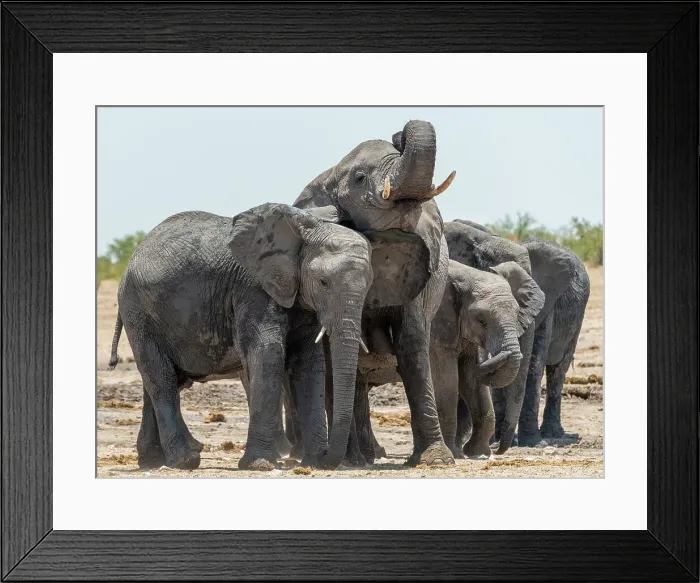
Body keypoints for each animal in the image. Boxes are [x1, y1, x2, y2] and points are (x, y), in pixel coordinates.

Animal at [108, 202, 375, 471]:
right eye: (323, 282)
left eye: (369, 285)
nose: (328, 459)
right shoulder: (252, 288)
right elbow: (268, 352)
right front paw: (260, 465)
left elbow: (309, 363)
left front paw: (313, 462)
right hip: (138, 311)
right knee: (161, 378)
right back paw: (185, 460)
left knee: (161, 380)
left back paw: (152, 462)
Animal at [291, 119, 458, 467]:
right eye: (360, 178)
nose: (399, 135)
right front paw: (344, 460)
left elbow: (411, 341)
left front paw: (435, 460)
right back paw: (358, 458)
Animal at [352, 259, 544, 462]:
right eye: (482, 321)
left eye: (517, 315)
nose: (497, 448)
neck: (469, 275)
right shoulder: (438, 327)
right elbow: (448, 380)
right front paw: (456, 453)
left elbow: (471, 380)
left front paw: (477, 453)